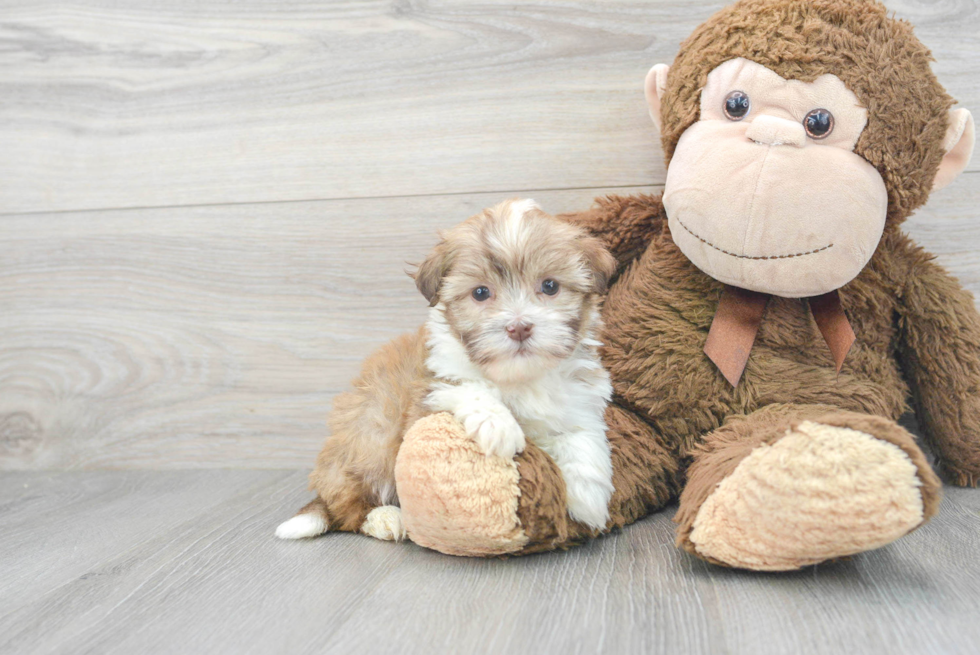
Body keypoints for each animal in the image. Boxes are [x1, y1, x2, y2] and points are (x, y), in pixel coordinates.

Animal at [274, 199, 612, 544]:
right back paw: (385, 518)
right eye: (480, 293)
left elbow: (583, 435)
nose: (518, 327)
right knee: (350, 507)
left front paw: (588, 498)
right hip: (370, 435)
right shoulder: (429, 387)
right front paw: (498, 424)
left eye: (550, 286)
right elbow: (465, 387)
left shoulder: (579, 396)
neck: (518, 376)